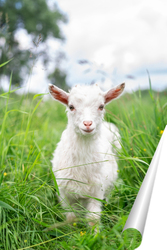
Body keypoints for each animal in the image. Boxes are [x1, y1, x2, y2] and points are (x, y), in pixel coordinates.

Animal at [48, 83, 124, 226]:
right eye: (71, 107)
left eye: (101, 106)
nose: (88, 124)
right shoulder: (65, 194)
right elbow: (71, 218)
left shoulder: (97, 191)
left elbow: (93, 218)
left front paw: (95, 232)